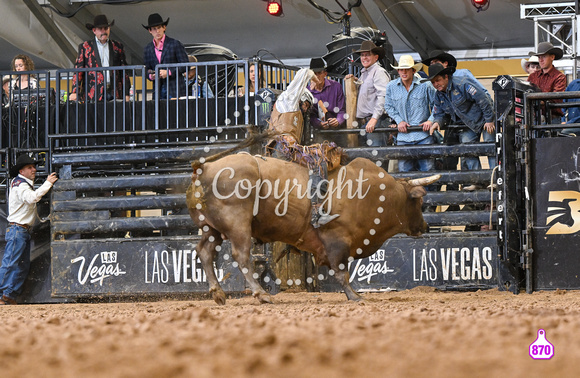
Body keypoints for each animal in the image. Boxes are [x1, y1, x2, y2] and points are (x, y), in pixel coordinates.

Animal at [186, 133, 440, 304]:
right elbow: (341, 271)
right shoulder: (337, 240)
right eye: (418, 203)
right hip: (238, 225)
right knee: (241, 256)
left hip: (211, 228)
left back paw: (218, 293)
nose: (425, 225)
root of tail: (203, 168)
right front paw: (354, 296)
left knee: (205, 252)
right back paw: (262, 294)